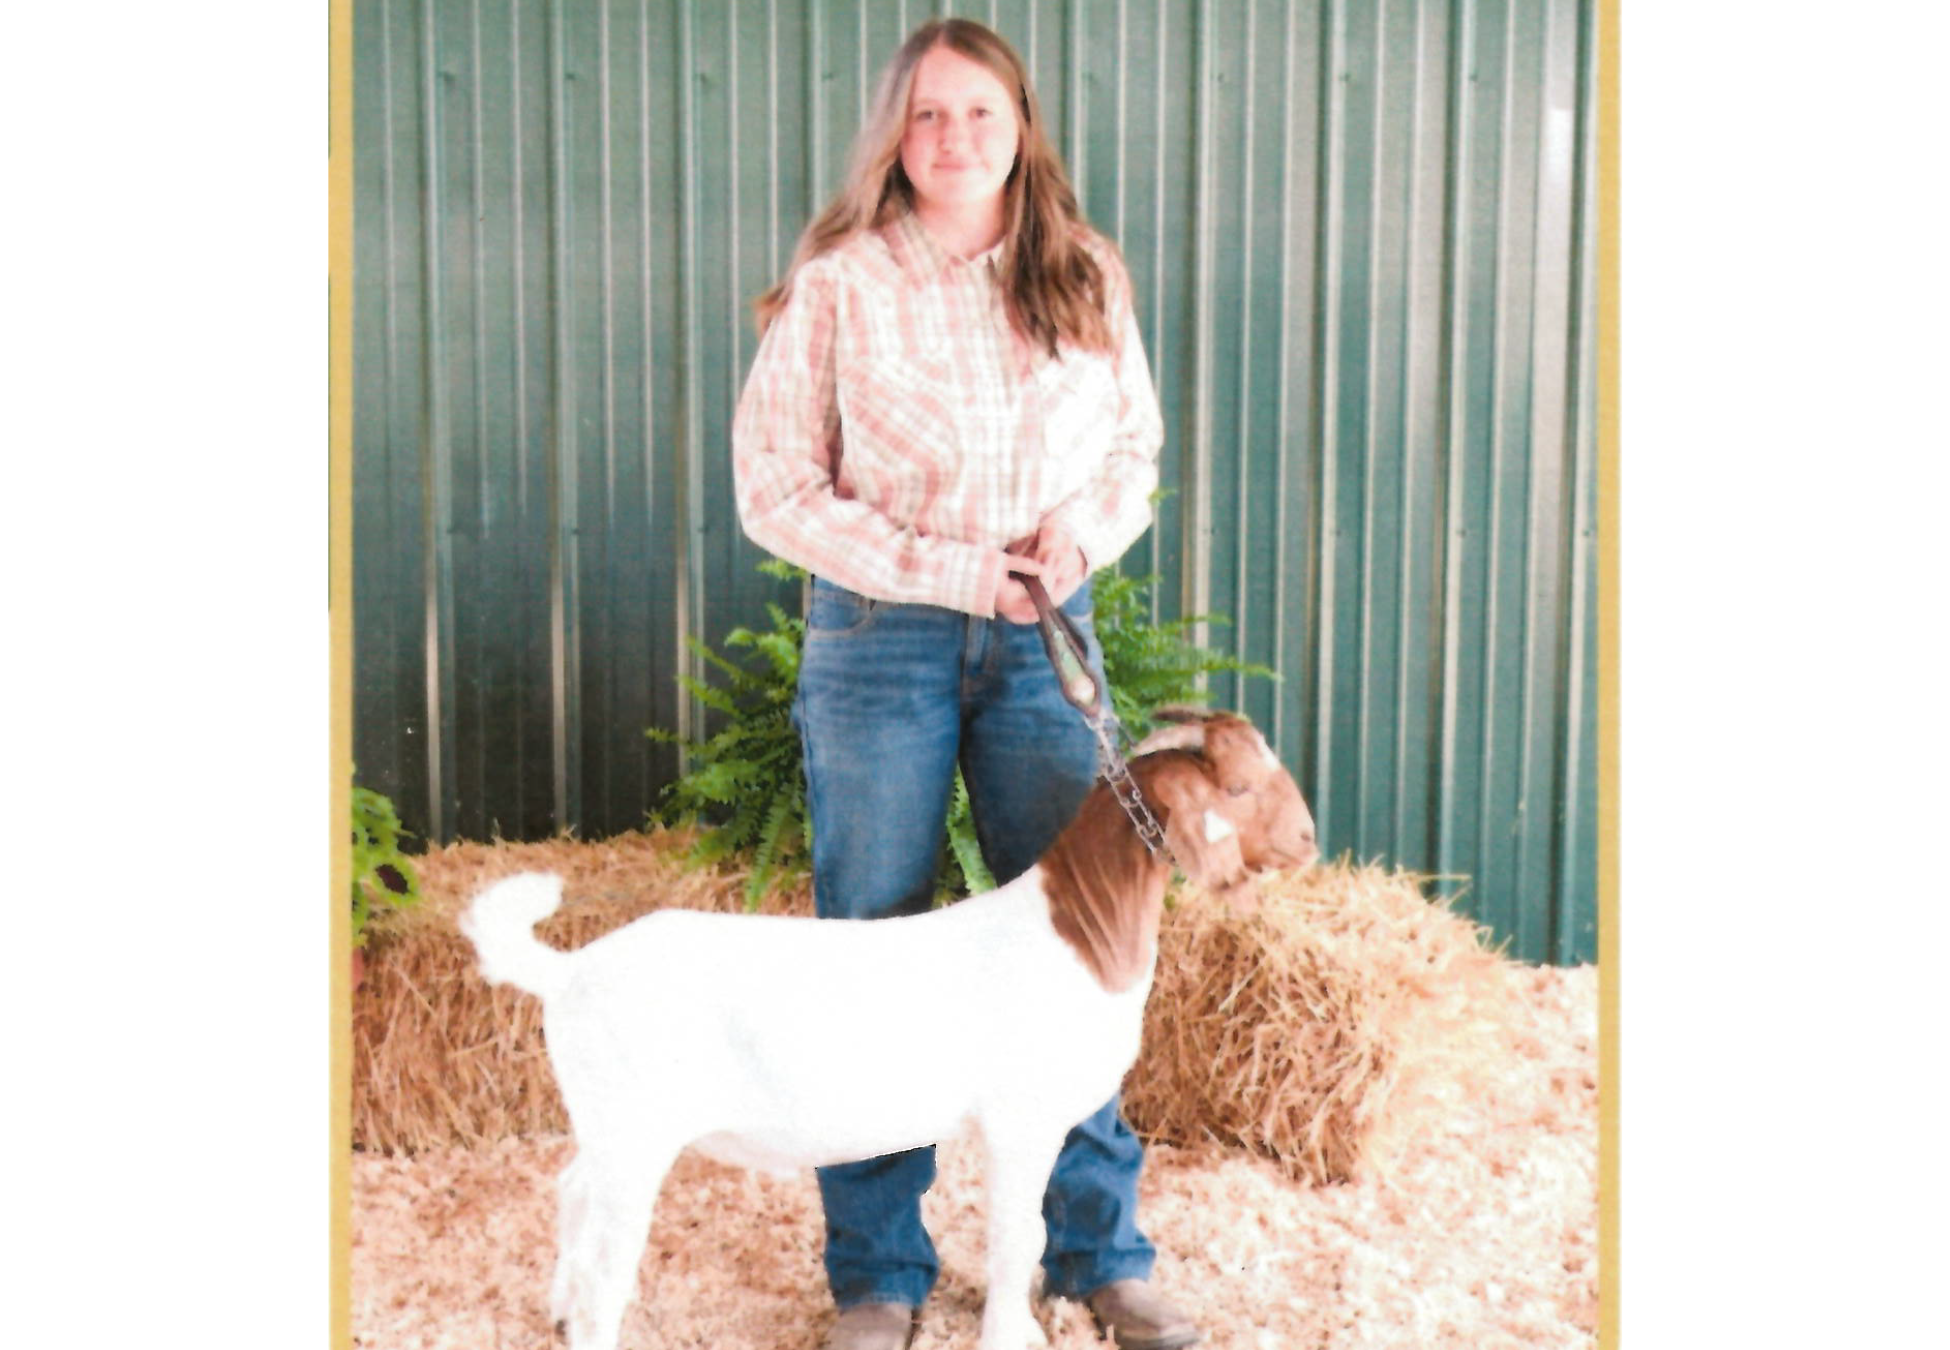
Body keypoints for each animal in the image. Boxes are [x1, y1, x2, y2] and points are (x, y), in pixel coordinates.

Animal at [461, 708, 1316, 1350]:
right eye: (1239, 785)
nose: (1308, 839)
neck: (1075, 929)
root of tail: (568, 971)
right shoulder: (1020, 1123)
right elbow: (1017, 1238)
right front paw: (1009, 1335)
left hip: (609, 1127)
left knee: (571, 1191)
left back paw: (558, 1308)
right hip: (634, 1134)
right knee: (606, 1266)